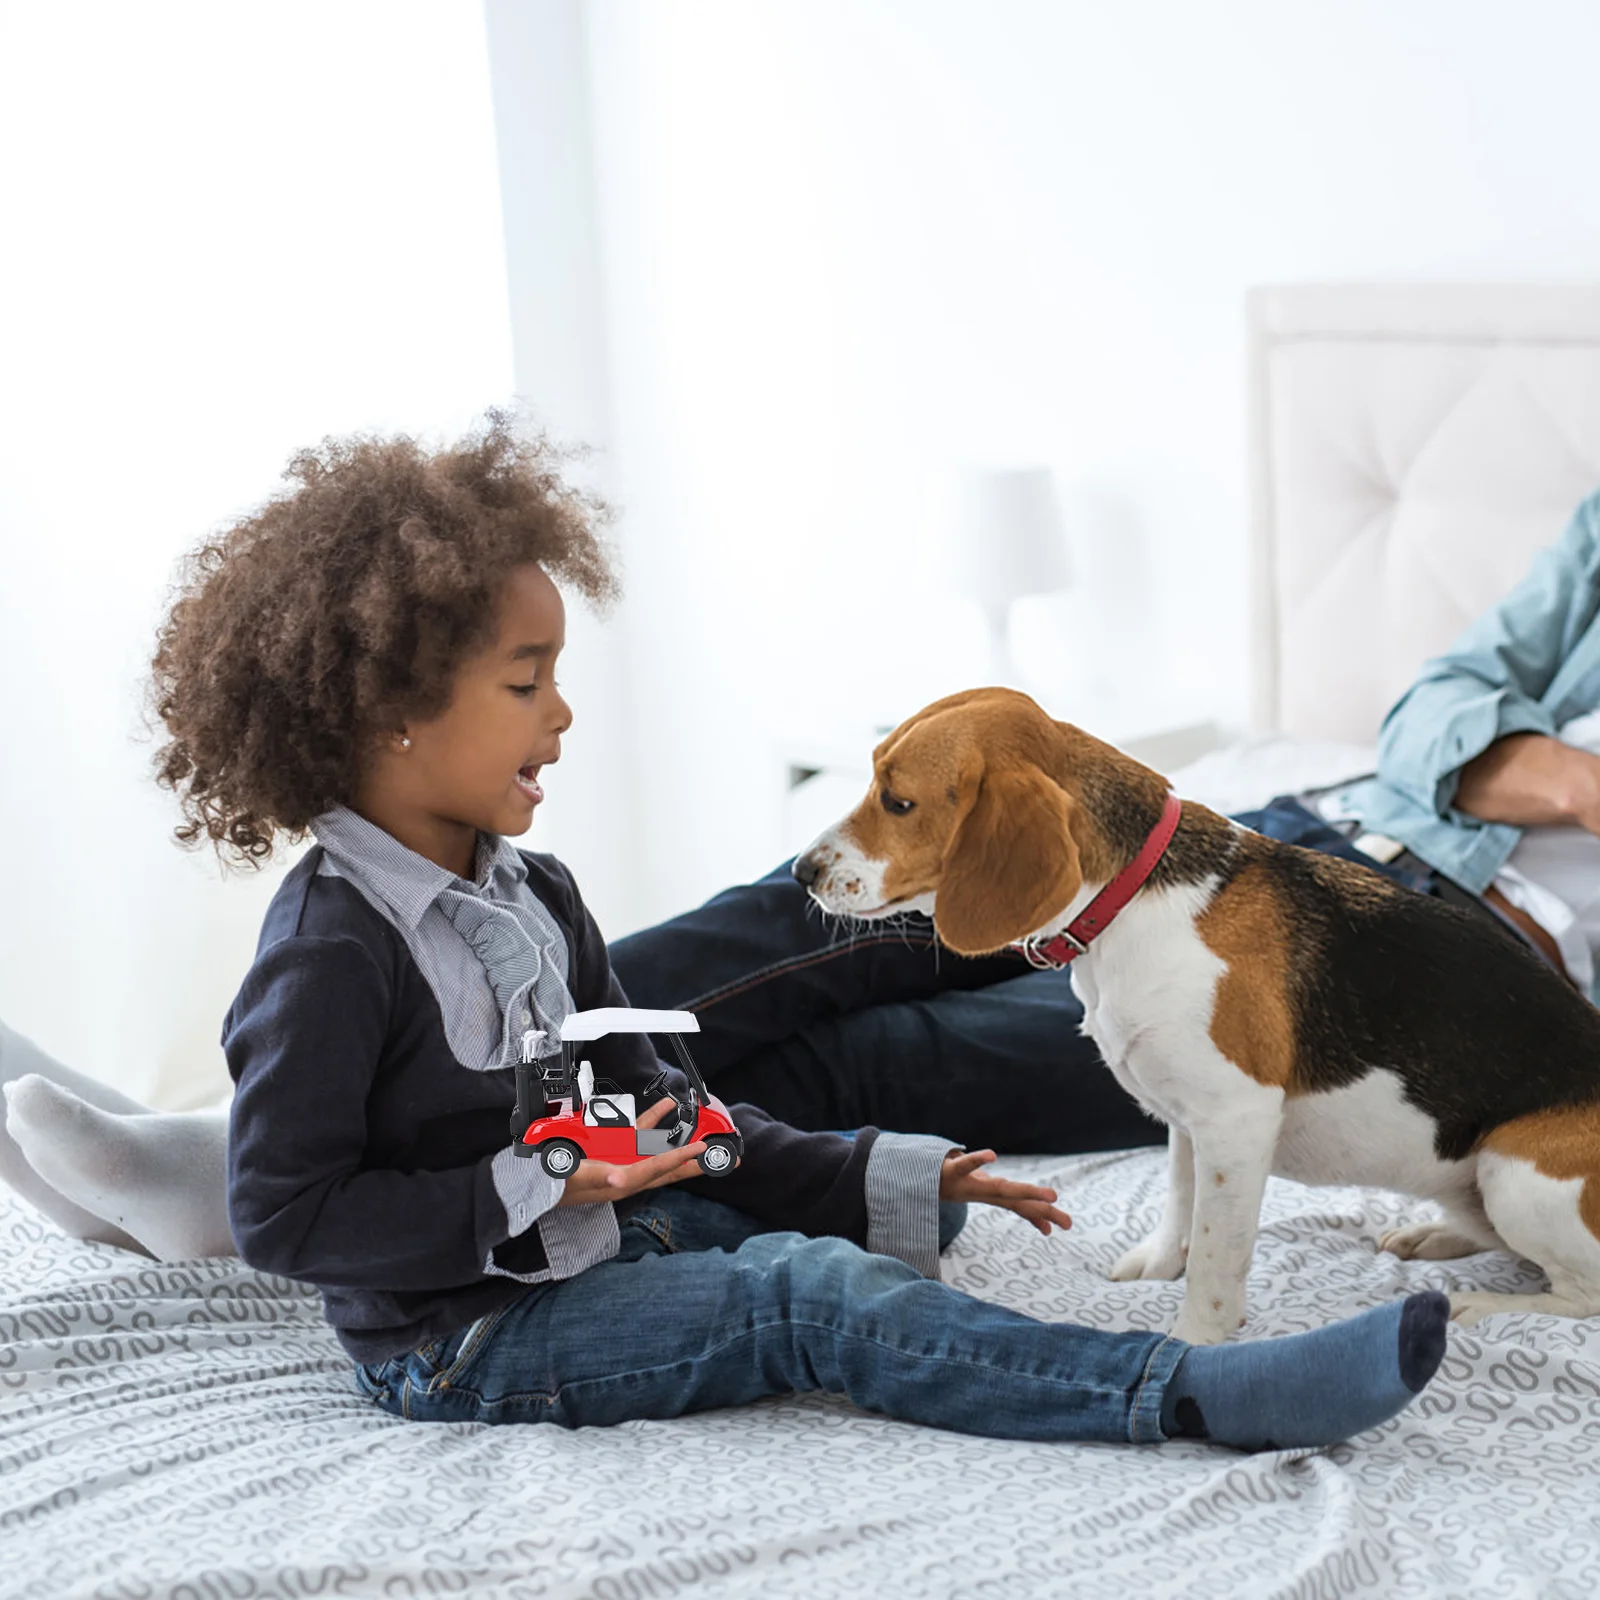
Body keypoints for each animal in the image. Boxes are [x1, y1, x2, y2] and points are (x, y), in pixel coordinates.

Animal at [800, 684, 1600, 1337]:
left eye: (898, 801)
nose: (802, 870)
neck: (1128, 897)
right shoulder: (1188, 1119)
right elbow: (1179, 1198)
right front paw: (1161, 1263)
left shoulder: (1234, 1122)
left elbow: (1218, 1259)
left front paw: (1194, 1343)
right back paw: (1437, 1237)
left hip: (1514, 1170)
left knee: (1579, 1294)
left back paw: (1475, 1304)